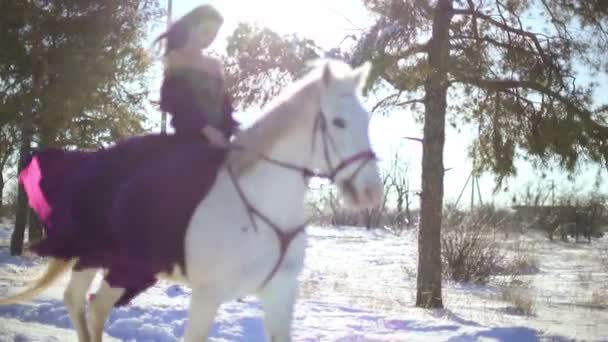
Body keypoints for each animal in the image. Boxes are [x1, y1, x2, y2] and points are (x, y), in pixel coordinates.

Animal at [0, 60, 382, 340]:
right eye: (339, 122)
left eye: (367, 119)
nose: (371, 193)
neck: (262, 209)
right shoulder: (207, 295)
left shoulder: (280, 294)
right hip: (104, 258)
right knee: (82, 303)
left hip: (116, 264)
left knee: (90, 305)